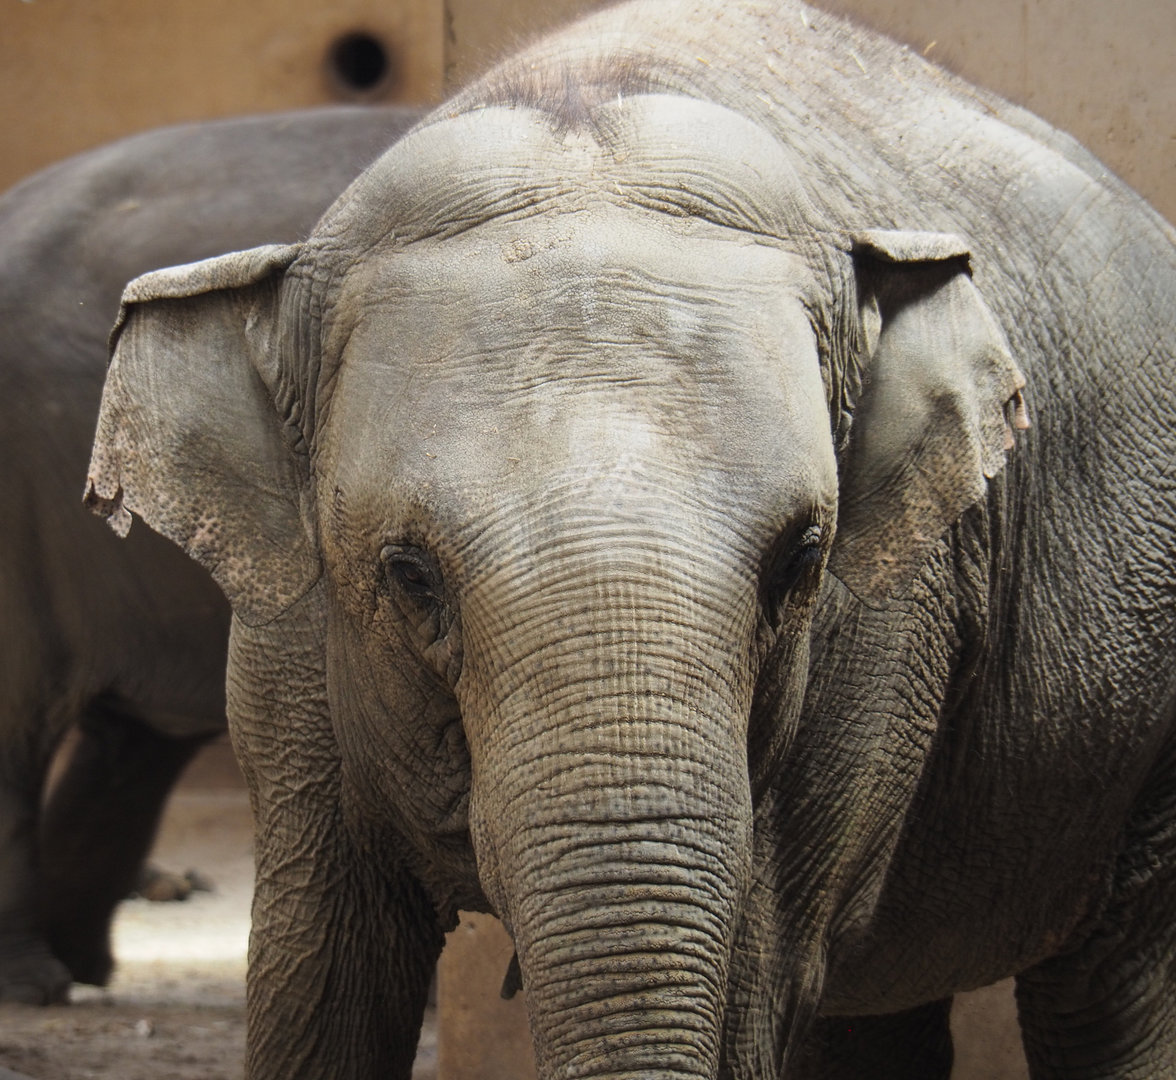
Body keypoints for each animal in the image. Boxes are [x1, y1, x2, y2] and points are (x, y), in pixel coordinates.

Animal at [86, 0, 1175, 1076]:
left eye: (799, 564)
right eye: (409, 576)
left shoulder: (894, 622)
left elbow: (755, 973)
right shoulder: (289, 643)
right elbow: (321, 983)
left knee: (1109, 986)